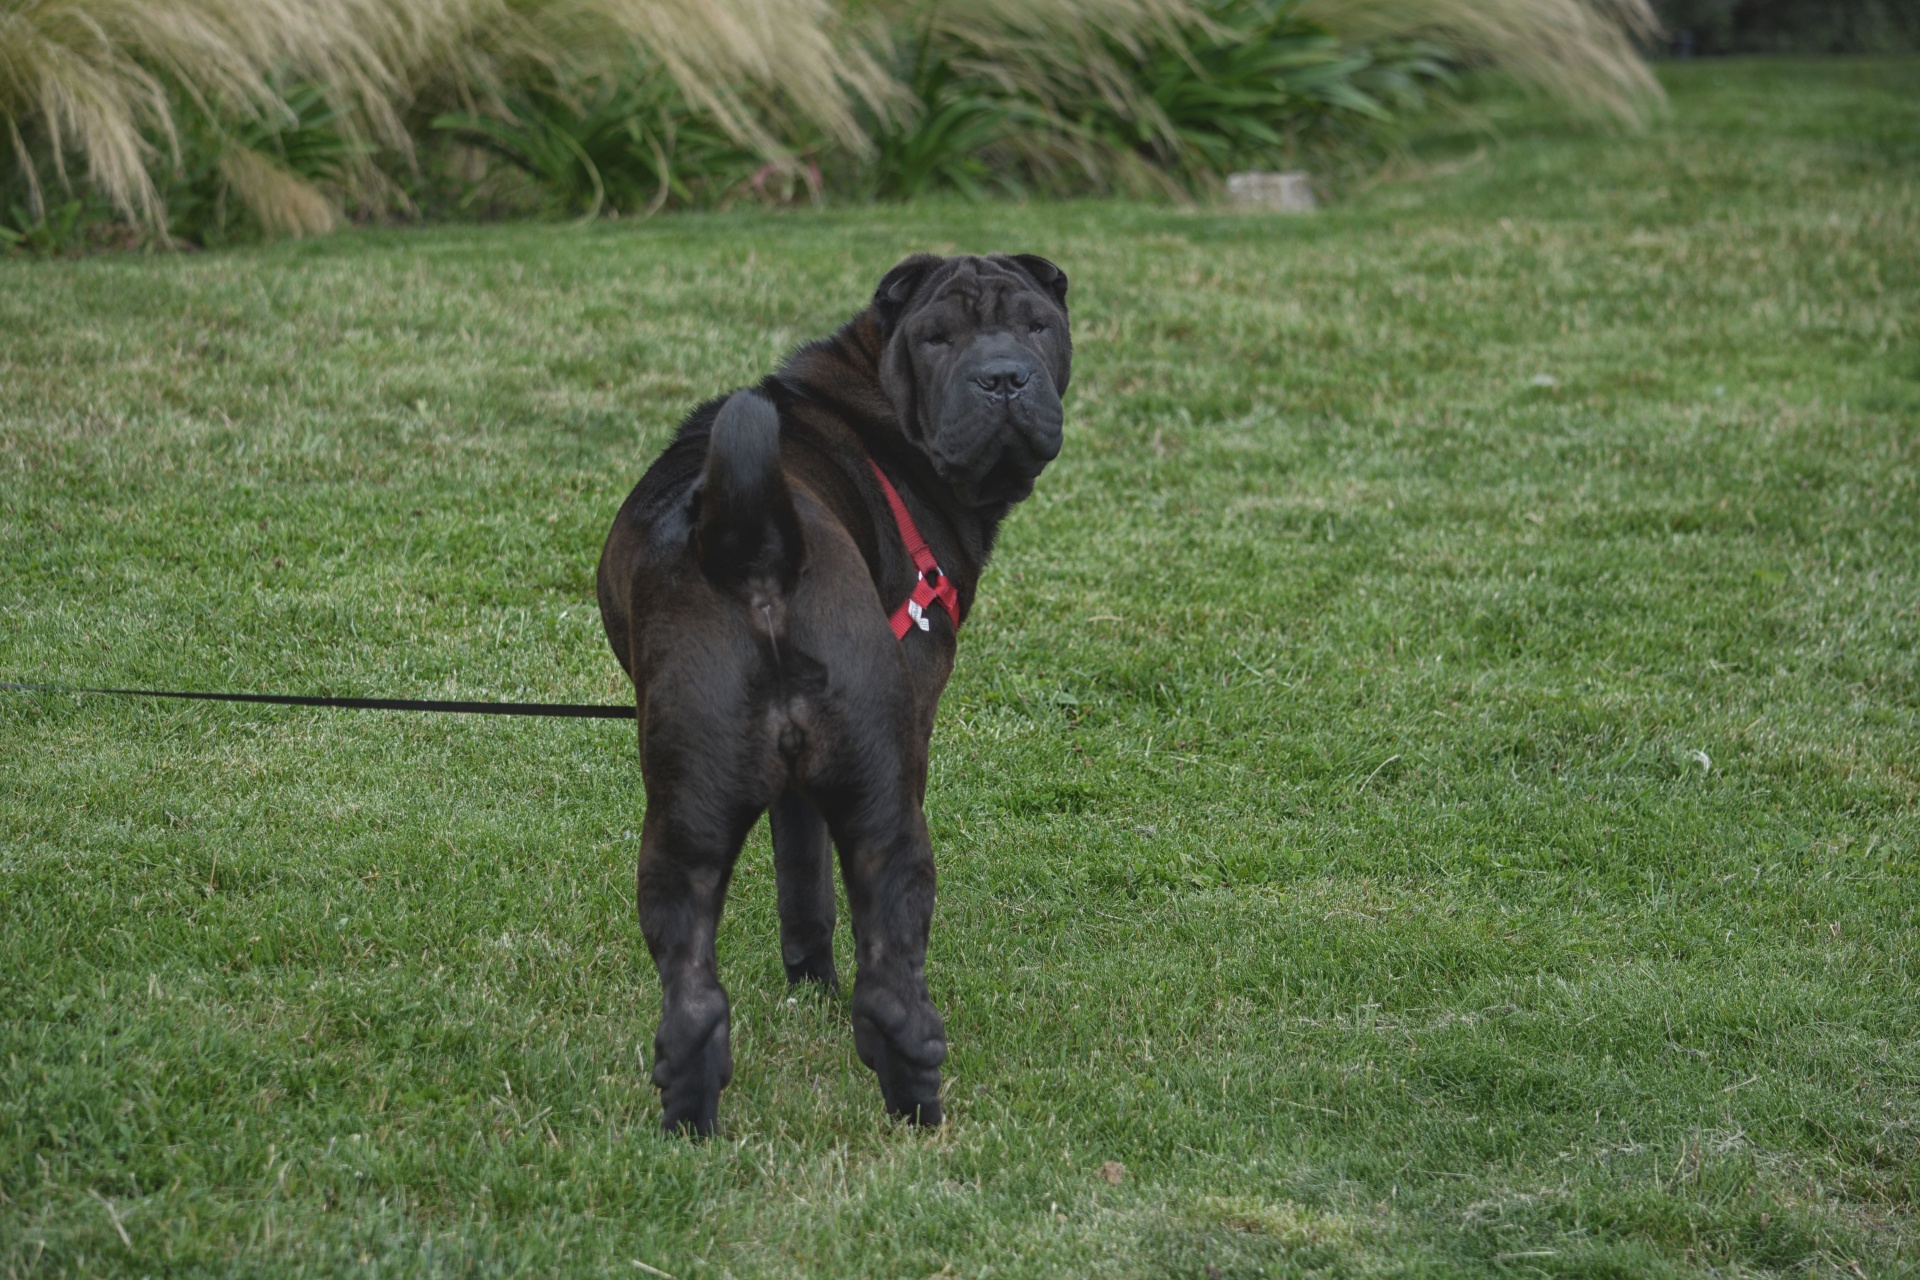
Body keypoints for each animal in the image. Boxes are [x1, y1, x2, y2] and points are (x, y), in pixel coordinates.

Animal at [599, 255, 1075, 1136]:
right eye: (937, 338)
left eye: (1036, 325)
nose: (1004, 378)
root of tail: (756, 556)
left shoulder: (800, 789)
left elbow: (803, 887)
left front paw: (809, 987)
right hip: (870, 798)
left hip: (701, 818)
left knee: (705, 1002)